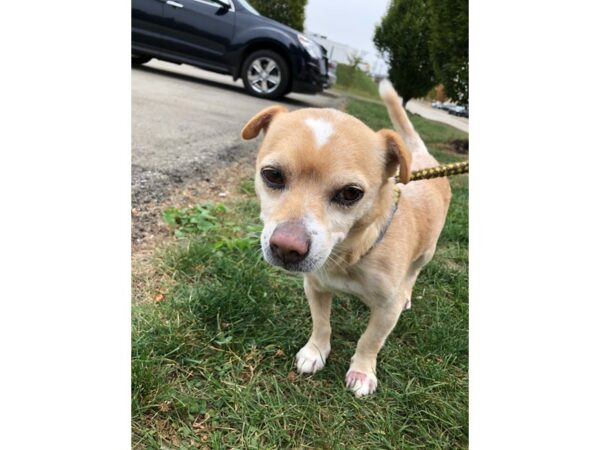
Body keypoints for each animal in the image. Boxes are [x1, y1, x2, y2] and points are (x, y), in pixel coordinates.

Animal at [239, 81, 450, 398]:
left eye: (351, 193)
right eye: (272, 175)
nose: (287, 248)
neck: (348, 256)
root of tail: (424, 156)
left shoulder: (387, 310)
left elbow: (370, 341)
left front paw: (362, 372)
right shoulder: (314, 287)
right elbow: (321, 324)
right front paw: (315, 352)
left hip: (426, 253)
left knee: (413, 274)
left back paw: (408, 295)